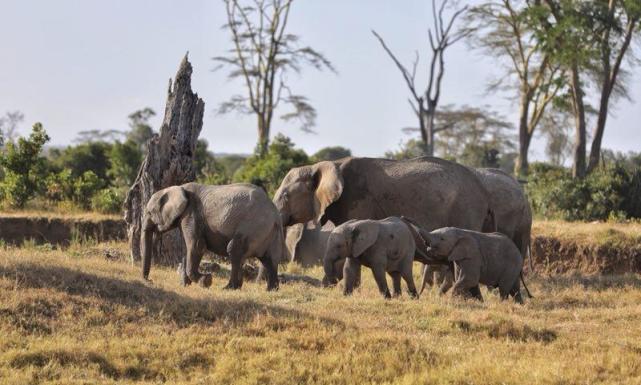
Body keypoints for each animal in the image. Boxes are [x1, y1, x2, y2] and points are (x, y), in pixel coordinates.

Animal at [141, 182, 284, 290]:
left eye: (149, 212)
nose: (150, 280)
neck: (179, 188)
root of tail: (275, 214)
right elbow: (189, 249)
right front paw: (185, 285)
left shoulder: (191, 214)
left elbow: (197, 246)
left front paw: (206, 281)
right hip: (269, 232)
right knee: (269, 259)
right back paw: (271, 290)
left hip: (253, 226)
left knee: (234, 249)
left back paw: (229, 288)